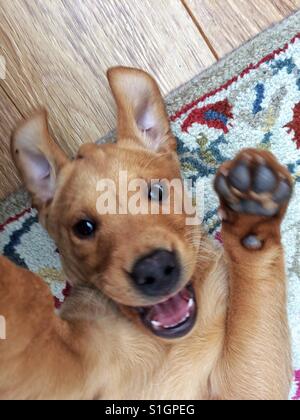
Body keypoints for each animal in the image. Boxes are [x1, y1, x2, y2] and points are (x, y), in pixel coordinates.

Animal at [0, 67, 292, 398]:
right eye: (83, 227)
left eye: (156, 192)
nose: (155, 269)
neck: (164, 346)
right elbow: (30, 303)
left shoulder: (244, 385)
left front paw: (253, 209)